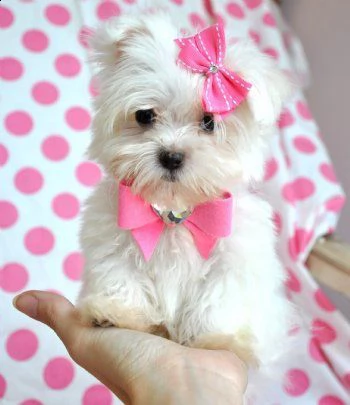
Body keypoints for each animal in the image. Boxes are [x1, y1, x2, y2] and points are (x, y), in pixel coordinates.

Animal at [77, 12, 296, 390]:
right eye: (145, 115)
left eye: (209, 122)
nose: (171, 156)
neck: (174, 213)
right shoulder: (113, 236)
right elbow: (121, 273)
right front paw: (117, 312)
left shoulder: (233, 259)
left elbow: (218, 299)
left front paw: (215, 339)